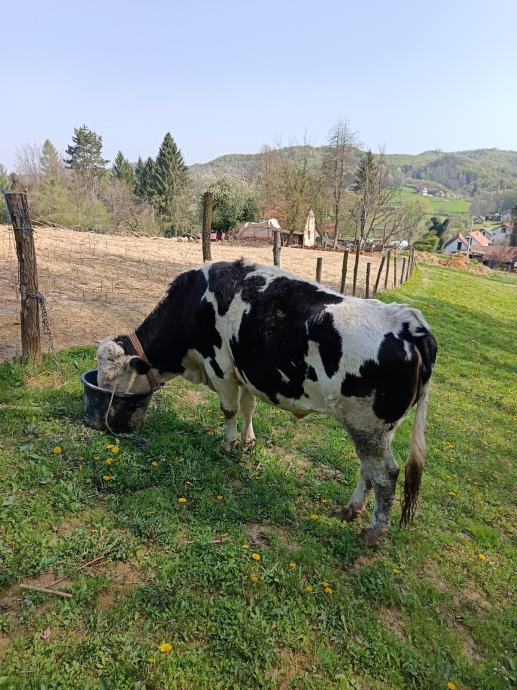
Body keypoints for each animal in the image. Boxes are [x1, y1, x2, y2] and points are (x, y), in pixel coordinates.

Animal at [96, 259, 437, 546]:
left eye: (110, 377)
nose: (102, 413)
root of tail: (410, 322)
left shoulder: (220, 365)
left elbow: (229, 410)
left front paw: (227, 444)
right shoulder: (245, 372)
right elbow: (249, 408)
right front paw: (248, 441)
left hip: (365, 423)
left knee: (385, 476)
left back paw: (373, 532)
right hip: (379, 429)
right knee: (369, 470)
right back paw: (349, 510)